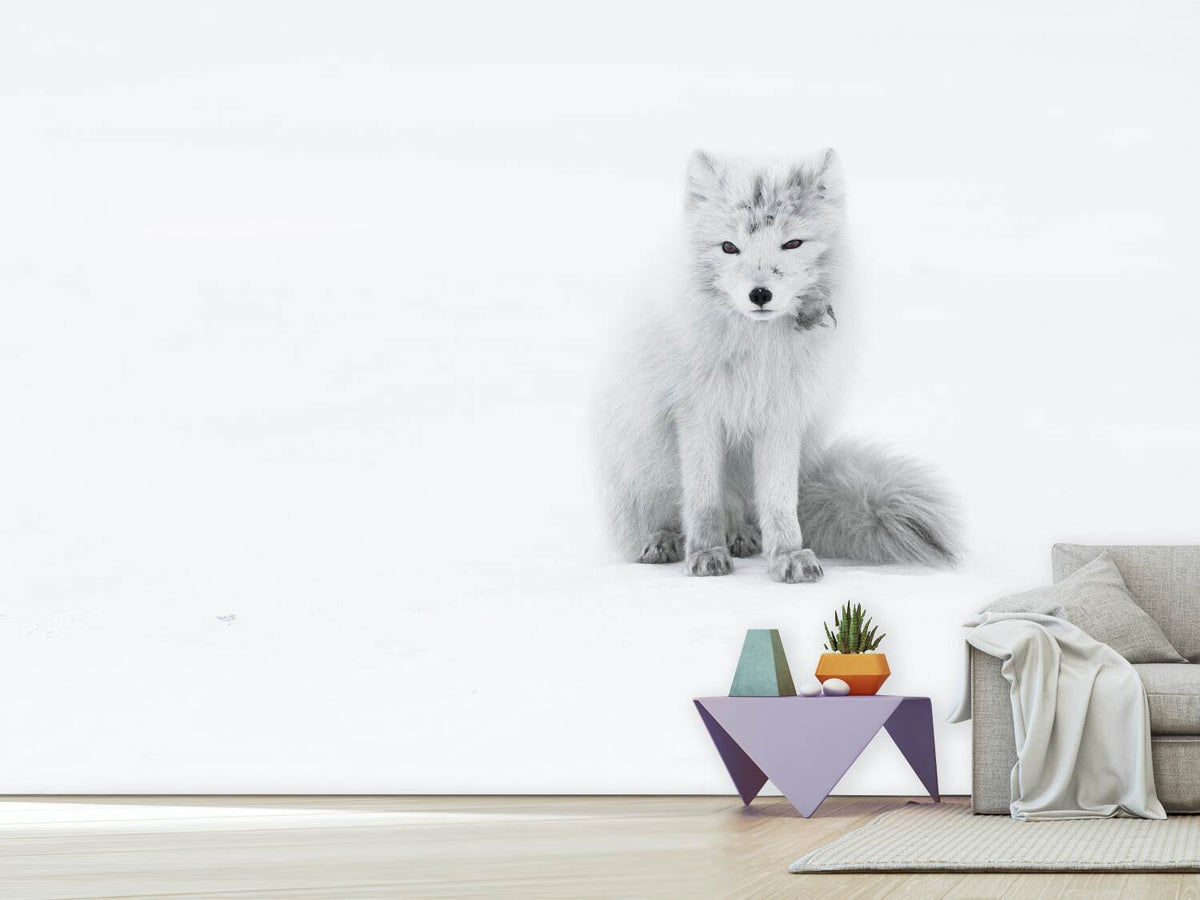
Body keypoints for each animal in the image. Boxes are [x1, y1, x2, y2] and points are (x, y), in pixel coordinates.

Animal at [594, 149, 961, 583]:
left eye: (792, 243)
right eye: (729, 247)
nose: (759, 294)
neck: (758, 352)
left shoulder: (783, 416)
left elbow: (780, 501)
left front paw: (788, 555)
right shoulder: (697, 415)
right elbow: (702, 499)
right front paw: (705, 554)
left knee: (746, 511)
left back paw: (742, 535)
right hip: (640, 464)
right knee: (666, 515)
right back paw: (665, 540)